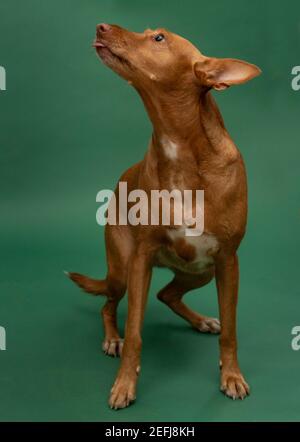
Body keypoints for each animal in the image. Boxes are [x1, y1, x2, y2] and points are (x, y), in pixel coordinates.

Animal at [67, 23, 260, 410]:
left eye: (159, 38)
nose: (101, 26)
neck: (180, 148)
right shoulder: (141, 259)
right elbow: (135, 333)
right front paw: (125, 383)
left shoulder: (229, 261)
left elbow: (231, 331)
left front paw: (231, 376)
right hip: (123, 271)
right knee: (110, 305)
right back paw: (112, 338)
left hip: (202, 271)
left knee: (167, 294)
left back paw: (201, 322)